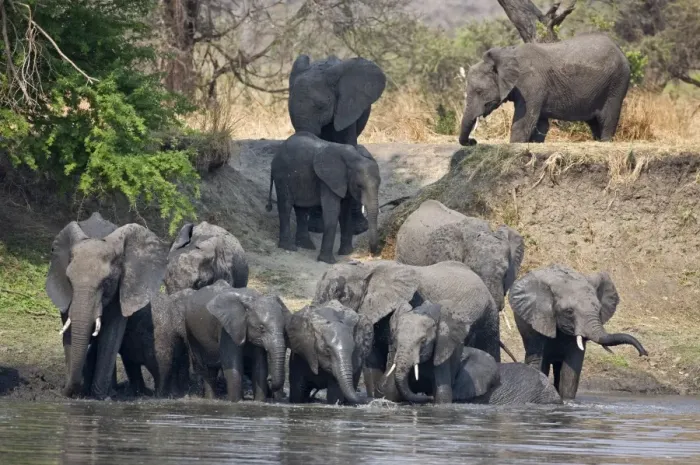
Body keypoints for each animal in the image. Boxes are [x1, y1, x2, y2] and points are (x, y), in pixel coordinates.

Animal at [46, 214, 168, 399]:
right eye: (69, 280)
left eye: (107, 282)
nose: (66, 390)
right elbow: (70, 332)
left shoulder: (121, 289)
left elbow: (111, 335)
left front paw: (101, 396)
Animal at [266, 131, 381, 264]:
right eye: (359, 186)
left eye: (379, 184)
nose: (372, 254)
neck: (353, 157)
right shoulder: (327, 181)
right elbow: (333, 212)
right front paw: (328, 261)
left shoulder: (343, 182)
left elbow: (345, 213)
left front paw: (346, 253)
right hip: (282, 176)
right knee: (285, 207)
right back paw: (289, 247)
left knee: (301, 209)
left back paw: (306, 246)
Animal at [288, 54, 386, 236]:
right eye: (288, 108)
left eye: (321, 106)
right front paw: (316, 227)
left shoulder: (346, 108)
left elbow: (348, 145)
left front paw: (357, 229)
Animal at [458, 33, 631, 145]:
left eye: (479, 91)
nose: (473, 141)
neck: (505, 55)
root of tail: (620, 49)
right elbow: (540, 124)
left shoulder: (531, 83)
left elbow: (524, 121)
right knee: (594, 122)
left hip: (616, 82)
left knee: (607, 117)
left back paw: (605, 141)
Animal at [509, 264, 648, 400]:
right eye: (569, 312)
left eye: (599, 310)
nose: (644, 353)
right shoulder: (538, 319)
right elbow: (538, 362)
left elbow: (572, 368)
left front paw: (567, 400)